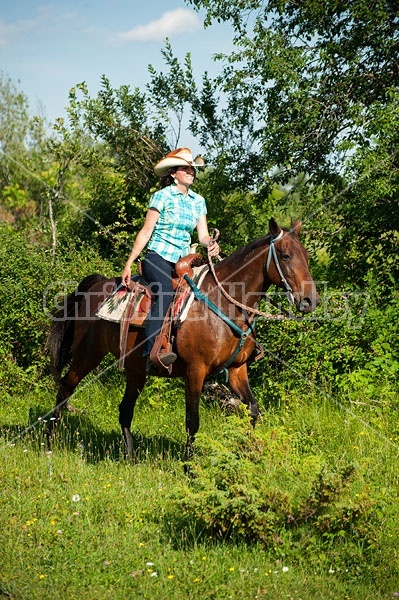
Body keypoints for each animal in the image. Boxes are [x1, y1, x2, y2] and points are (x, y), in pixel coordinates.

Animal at [47, 219, 318, 460]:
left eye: (306, 256)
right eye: (285, 256)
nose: (309, 301)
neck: (224, 302)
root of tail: (95, 286)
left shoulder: (237, 369)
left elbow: (252, 410)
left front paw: (246, 455)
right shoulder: (195, 370)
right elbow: (192, 421)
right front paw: (190, 468)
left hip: (135, 369)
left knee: (124, 410)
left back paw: (130, 456)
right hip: (88, 354)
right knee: (66, 386)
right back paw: (50, 441)